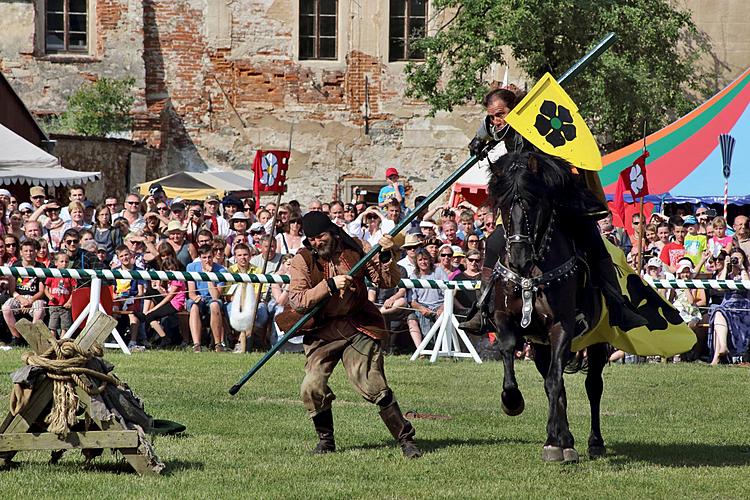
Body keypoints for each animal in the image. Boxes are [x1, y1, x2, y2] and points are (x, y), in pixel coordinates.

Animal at [488, 150, 612, 462]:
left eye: (533, 203)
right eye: (503, 205)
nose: (518, 258)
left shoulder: (561, 326)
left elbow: (556, 382)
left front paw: (553, 441)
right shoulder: (505, 318)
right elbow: (510, 351)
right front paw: (512, 401)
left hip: (596, 340)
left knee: (592, 386)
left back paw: (592, 441)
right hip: (541, 345)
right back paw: (564, 439)